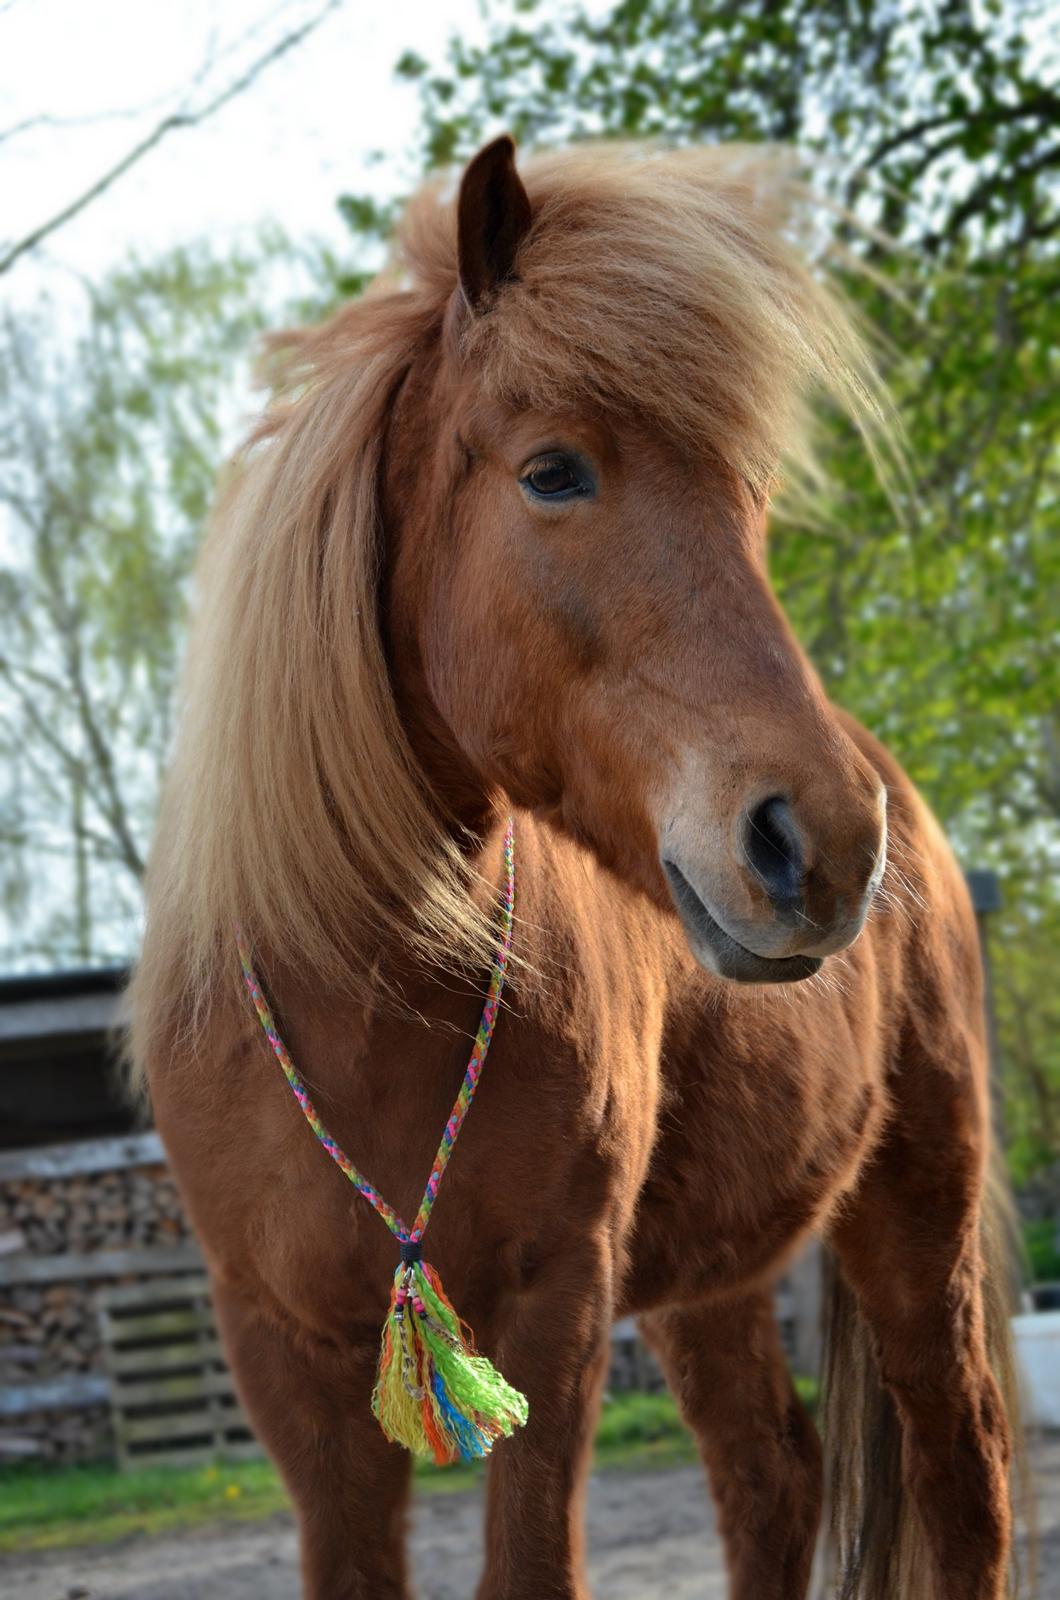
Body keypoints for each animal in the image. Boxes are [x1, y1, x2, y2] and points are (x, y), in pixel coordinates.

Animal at [132, 140, 1024, 1600]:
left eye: (747, 493)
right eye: (553, 472)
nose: (825, 841)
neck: (373, 994)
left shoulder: (554, 1306)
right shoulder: (284, 1356)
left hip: (915, 1206)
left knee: (964, 1473)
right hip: (718, 1277)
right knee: (773, 1471)